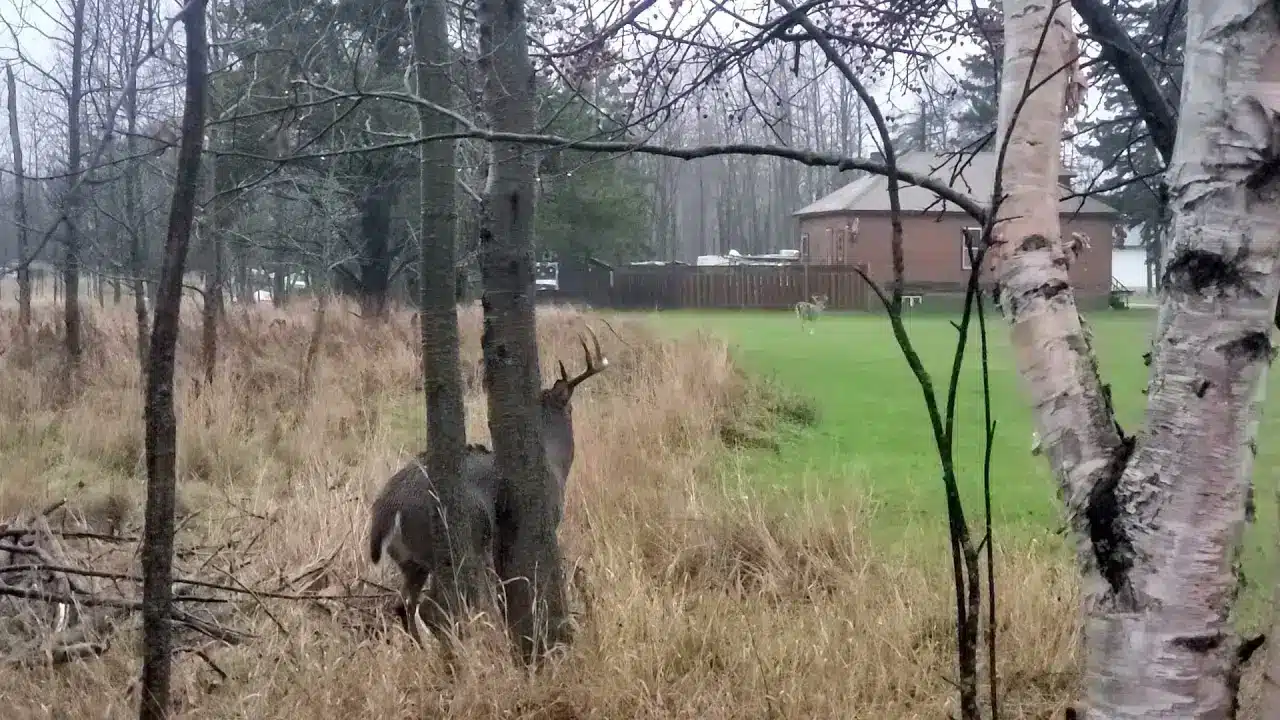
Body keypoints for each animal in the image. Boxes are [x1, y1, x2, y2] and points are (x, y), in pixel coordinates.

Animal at [371, 325, 609, 645]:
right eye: (569, 407)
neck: (554, 464)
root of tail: (388, 507)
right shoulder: (539, 521)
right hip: (451, 545)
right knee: (431, 607)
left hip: (411, 560)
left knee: (403, 604)